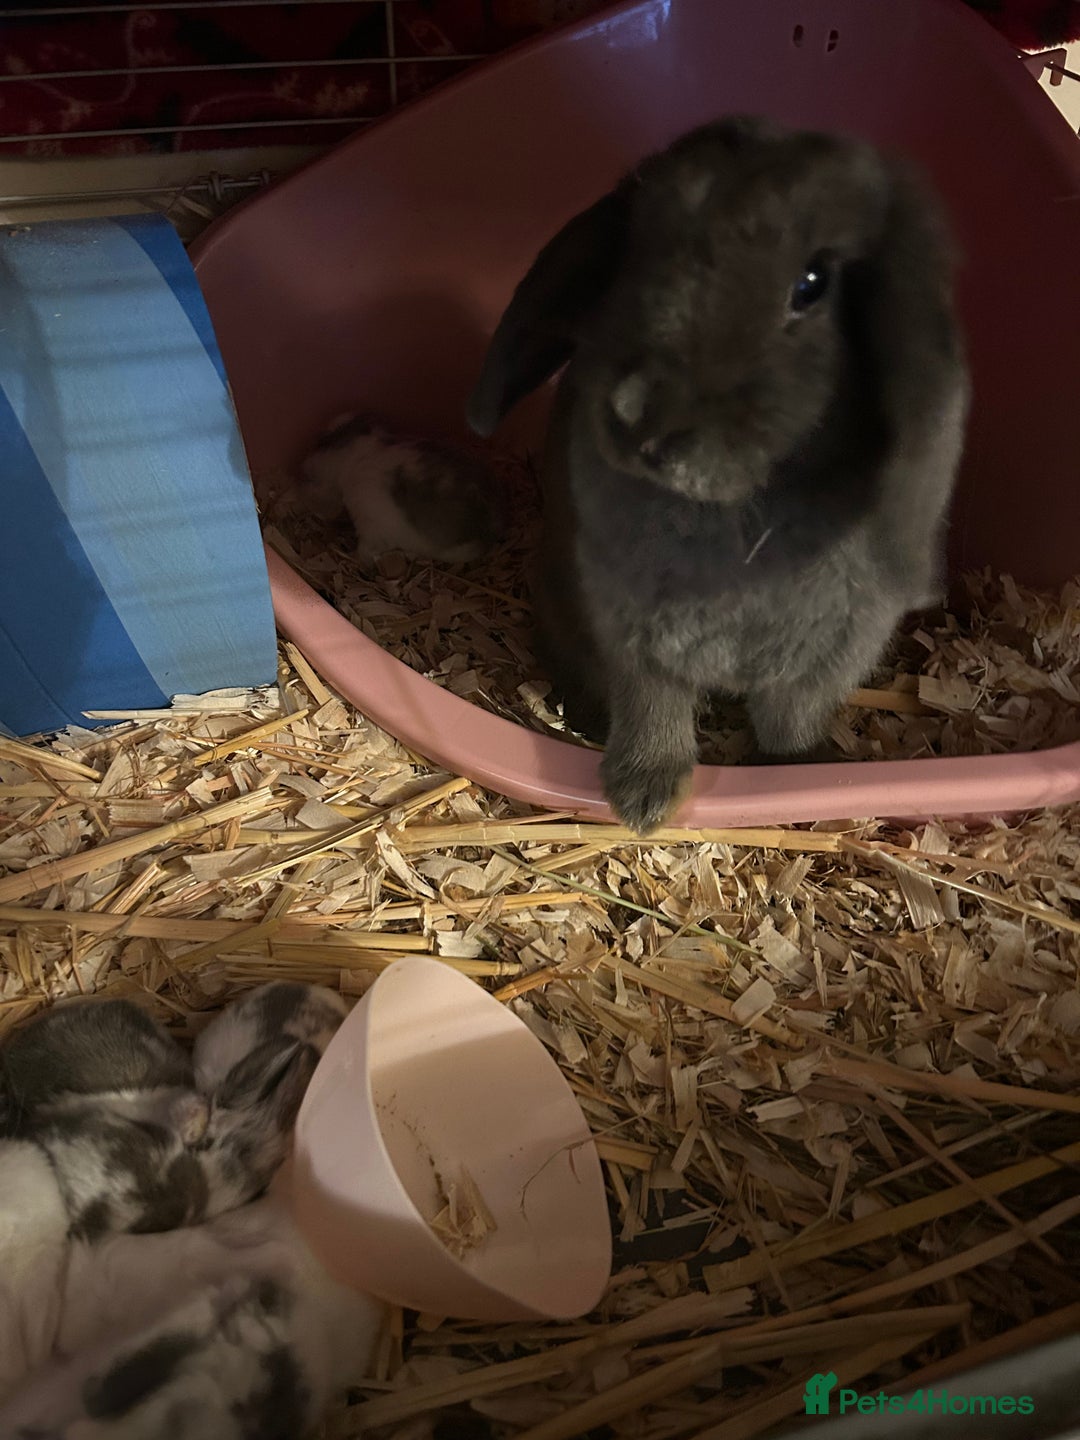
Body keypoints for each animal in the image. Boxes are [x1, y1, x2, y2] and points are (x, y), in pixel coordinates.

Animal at [467, 114, 971, 834]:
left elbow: (789, 718)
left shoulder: (828, 656)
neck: (738, 518)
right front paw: (644, 799)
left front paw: (802, 772)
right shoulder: (635, 642)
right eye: (639, 244)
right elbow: (654, 710)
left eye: (812, 283)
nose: (637, 414)